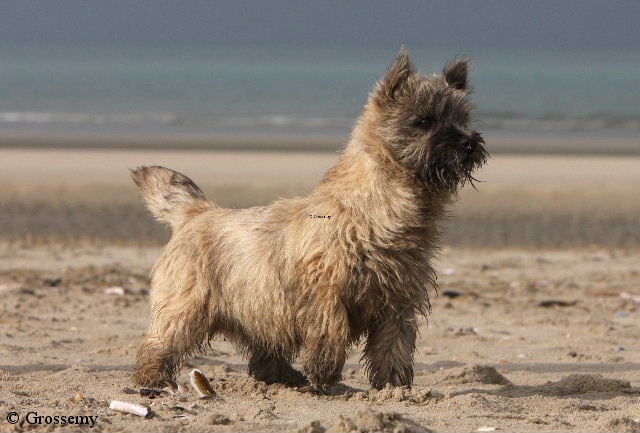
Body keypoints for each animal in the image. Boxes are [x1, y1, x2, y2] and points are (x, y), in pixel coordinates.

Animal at [132, 46, 487, 391]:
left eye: (462, 118)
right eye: (424, 120)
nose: (468, 142)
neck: (377, 208)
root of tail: (197, 212)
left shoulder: (399, 300)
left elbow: (393, 344)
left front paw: (393, 385)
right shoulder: (324, 291)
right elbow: (332, 330)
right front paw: (325, 375)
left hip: (263, 310)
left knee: (263, 355)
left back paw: (284, 376)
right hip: (189, 306)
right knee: (161, 341)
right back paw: (153, 378)